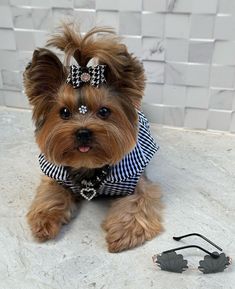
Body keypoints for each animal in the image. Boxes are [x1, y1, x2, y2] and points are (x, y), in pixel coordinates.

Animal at [23, 23, 163, 251]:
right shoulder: (56, 176)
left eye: (104, 111)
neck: (89, 164)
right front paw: (44, 221)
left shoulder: (136, 180)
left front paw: (123, 232)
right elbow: (50, 193)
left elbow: (138, 201)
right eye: (64, 112)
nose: (83, 132)